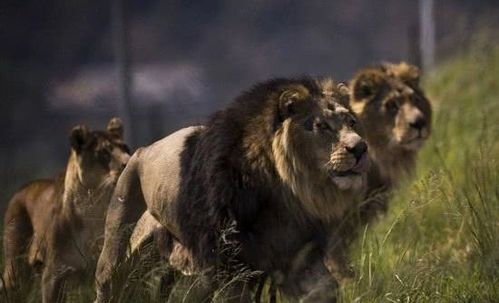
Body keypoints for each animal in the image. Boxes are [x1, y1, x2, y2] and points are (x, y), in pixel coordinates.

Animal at [0, 117, 130, 302]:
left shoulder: (110, 269)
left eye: (126, 148)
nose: (129, 160)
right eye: (104, 152)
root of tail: (21, 189)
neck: (95, 209)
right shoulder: (54, 274)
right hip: (16, 268)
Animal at [94, 77, 372, 302]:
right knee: (109, 281)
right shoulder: (229, 267)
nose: (360, 148)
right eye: (321, 126)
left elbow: (324, 288)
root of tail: (143, 150)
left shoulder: (298, 258)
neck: (285, 190)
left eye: (351, 122)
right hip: (119, 247)